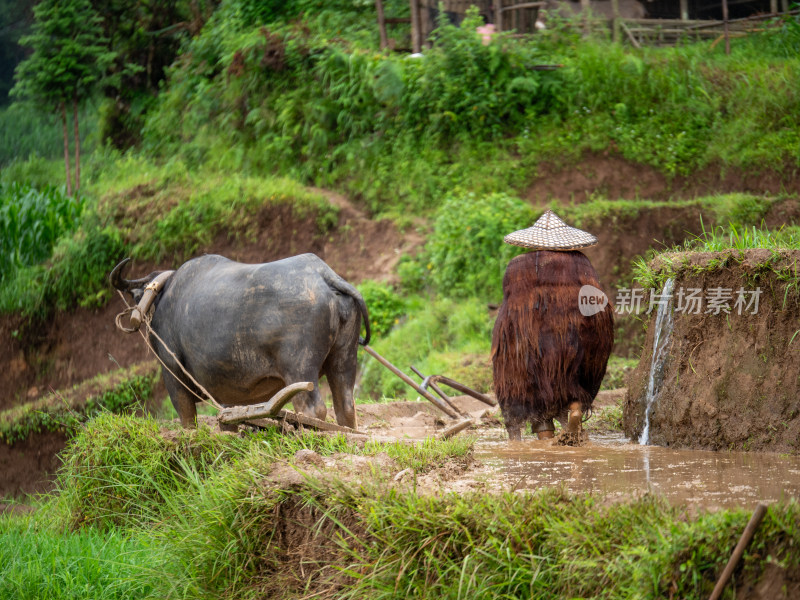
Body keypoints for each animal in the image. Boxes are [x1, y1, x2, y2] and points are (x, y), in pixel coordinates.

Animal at [111, 255, 370, 428]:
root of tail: (324, 275)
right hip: (344, 360)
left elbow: (187, 419)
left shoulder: (173, 374)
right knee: (346, 406)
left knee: (312, 409)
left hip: (300, 370)